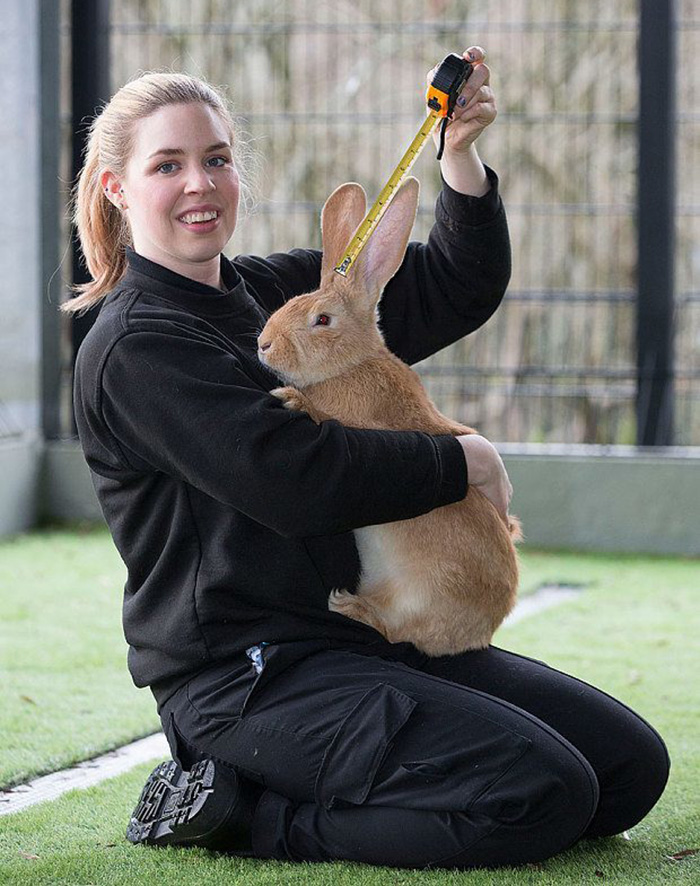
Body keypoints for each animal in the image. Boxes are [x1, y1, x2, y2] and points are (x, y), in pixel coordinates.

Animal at [257, 176, 521, 655]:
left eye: (322, 320)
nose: (264, 344)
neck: (351, 364)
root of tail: (481, 632)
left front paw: (293, 400)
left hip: (419, 599)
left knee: (397, 631)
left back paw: (347, 605)